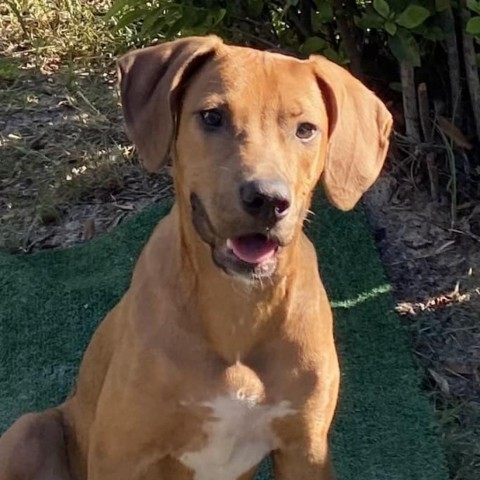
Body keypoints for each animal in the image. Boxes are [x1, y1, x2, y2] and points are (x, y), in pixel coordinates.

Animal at [0, 35, 390, 478]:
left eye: (306, 129)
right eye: (212, 116)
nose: (267, 200)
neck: (238, 310)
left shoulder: (305, 450)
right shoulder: (120, 451)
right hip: (27, 431)